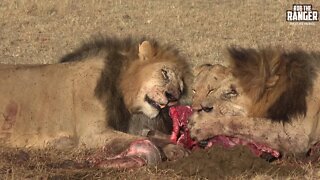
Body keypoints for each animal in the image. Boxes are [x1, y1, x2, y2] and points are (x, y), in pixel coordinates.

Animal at [0, 35, 190, 164]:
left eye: (180, 89)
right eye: (164, 73)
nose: (173, 98)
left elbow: (150, 136)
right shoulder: (92, 134)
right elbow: (144, 140)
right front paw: (173, 147)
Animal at [190, 46, 320, 158]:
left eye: (232, 92)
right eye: (216, 88)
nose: (202, 107)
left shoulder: (299, 137)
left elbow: (247, 124)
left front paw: (201, 124)